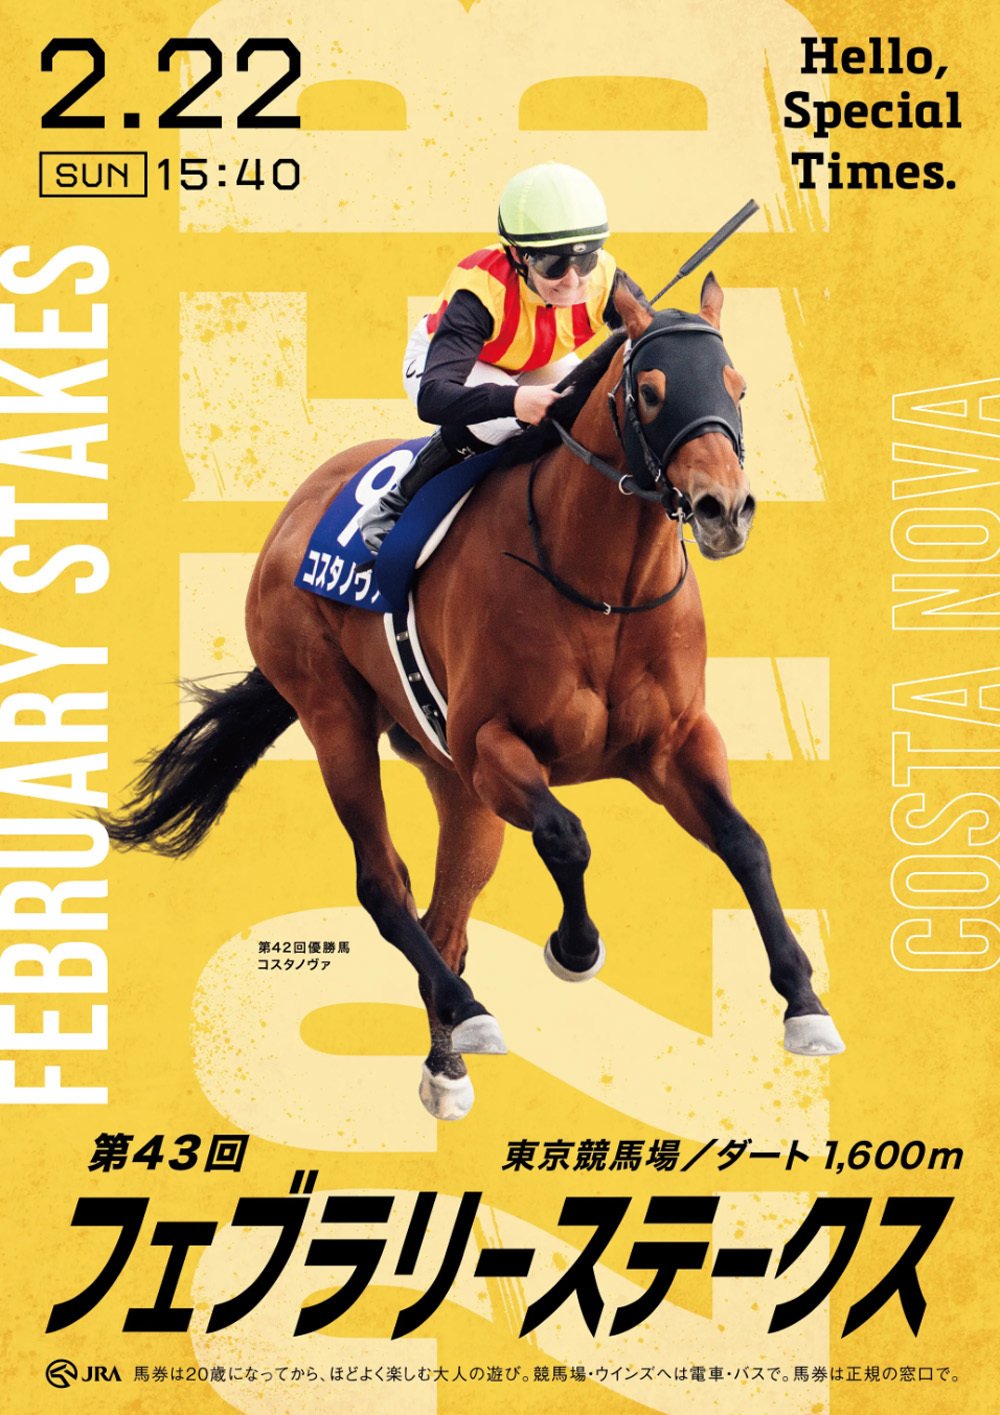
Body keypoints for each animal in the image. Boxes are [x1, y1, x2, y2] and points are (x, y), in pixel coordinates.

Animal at [104, 275, 844, 1121]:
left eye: (738, 386)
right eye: (652, 391)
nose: (725, 508)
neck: (603, 588)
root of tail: (293, 512)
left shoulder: (674, 743)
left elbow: (744, 842)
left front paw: (805, 1004)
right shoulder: (494, 743)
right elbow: (567, 834)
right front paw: (575, 946)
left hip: (453, 783)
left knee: (445, 918)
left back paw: (446, 1060)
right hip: (336, 718)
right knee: (384, 884)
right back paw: (470, 1010)